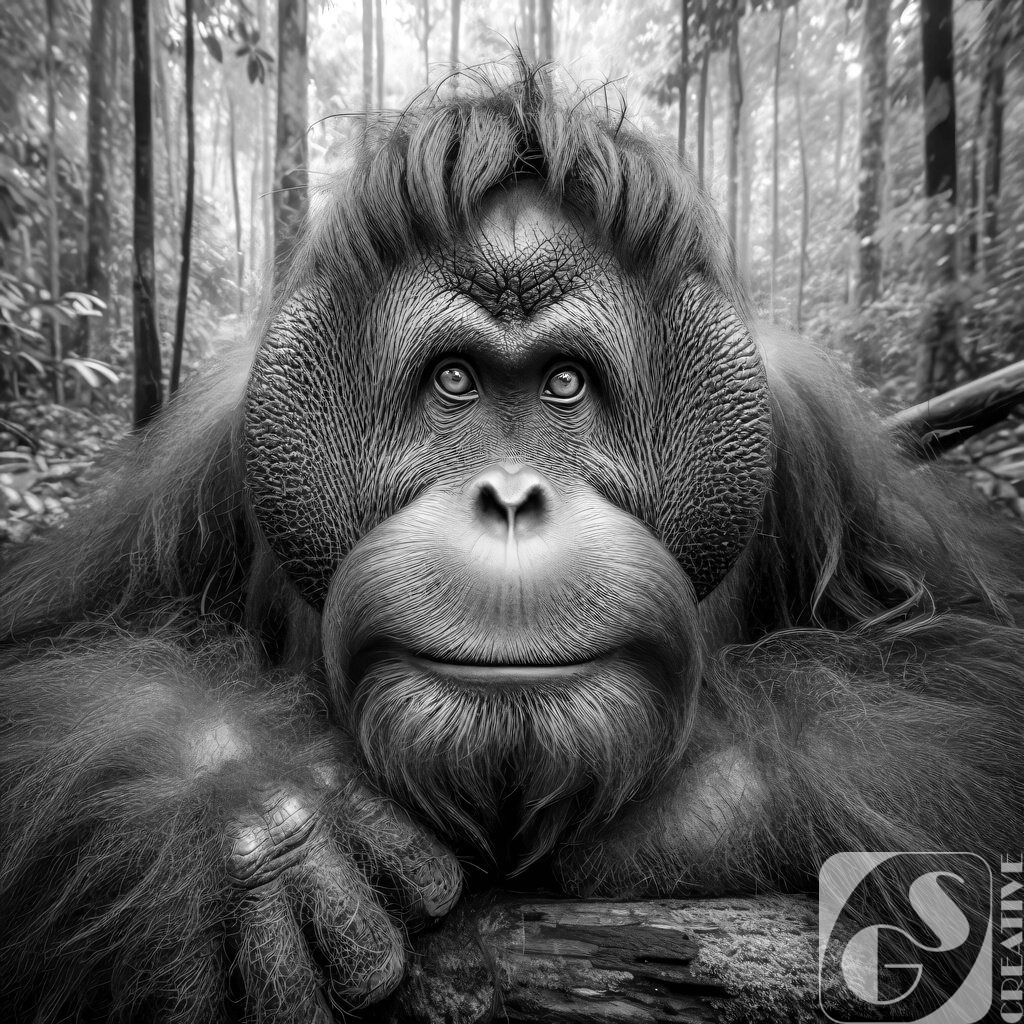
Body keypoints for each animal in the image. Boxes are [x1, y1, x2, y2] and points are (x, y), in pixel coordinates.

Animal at [1, 62, 1020, 1022]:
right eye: (454, 380)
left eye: (565, 383)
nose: (510, 497)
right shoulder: (210, 443)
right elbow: (53, 644)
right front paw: (272, 820)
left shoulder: (809, 424)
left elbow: (965, 645)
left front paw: (689, 809)